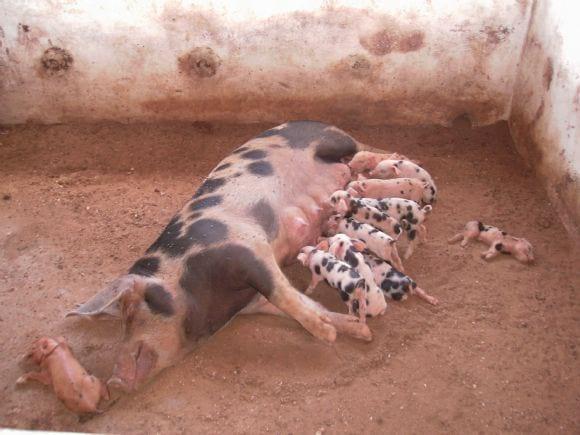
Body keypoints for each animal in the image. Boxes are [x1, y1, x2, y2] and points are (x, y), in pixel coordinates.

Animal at [67, 121, 372, 394]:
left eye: (130, 311)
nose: (113, 382)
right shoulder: (253, 300)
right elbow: (301, 302)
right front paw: (359, 330)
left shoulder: (246, 246)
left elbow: (282, 295)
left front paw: (328, 335)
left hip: (332, 140)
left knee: (362, 147)